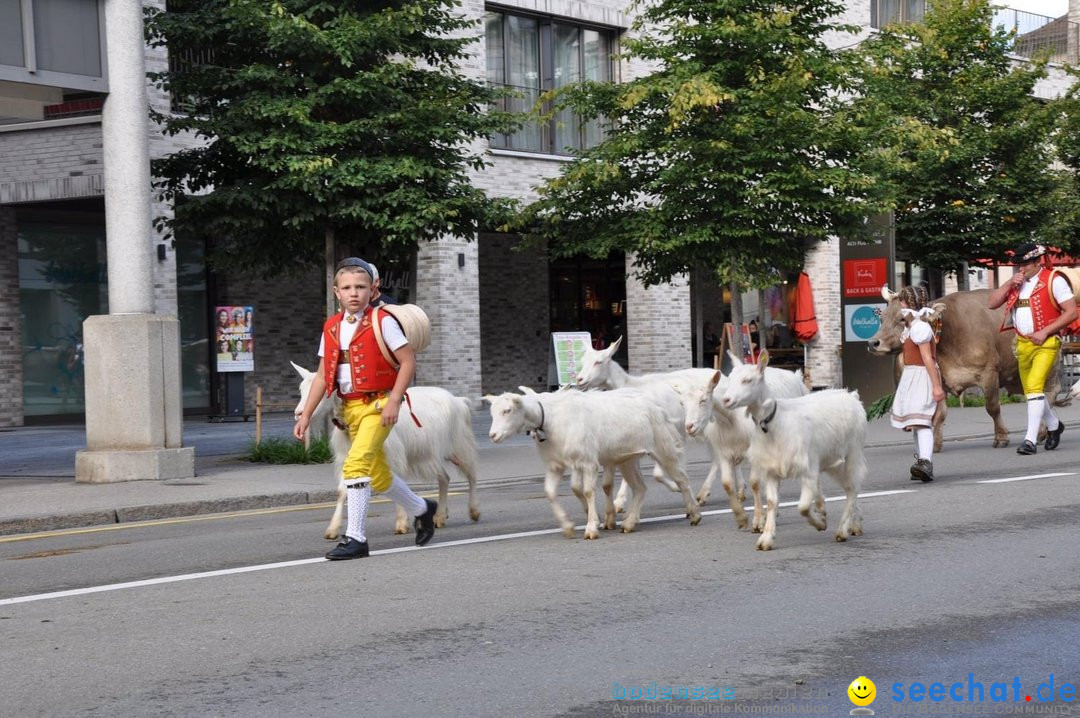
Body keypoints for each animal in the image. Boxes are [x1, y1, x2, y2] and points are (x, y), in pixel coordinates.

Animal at [295, 364, 481, 537]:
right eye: (301, 389)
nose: (299, 413)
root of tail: (459, 400)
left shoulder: (394, 456)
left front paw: (401, 524)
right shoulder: (347, 458)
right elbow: (342, 491)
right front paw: (332, 529)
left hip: (460, 446)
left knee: (471, 475)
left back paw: (473, 511)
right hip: (431, 454)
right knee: (445, 478)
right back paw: (440, 516)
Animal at [488, 386, 704, 537]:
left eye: (507, 410)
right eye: (493, 412)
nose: (493, 435)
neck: (550, 419)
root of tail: (657, 408)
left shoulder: (588, 462)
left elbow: (588, 491)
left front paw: (592, 527)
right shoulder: (556, 465)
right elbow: (550, 492)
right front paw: (568, 526)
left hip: (663, 448)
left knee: (682, 479)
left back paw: (694, 514)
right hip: (627, 459)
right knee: (640, 487)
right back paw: (629, 524)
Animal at [721, 351, 864, 548]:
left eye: (748, 380)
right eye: (730, 378)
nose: (726, 400)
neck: (776, 421)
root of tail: (851, 396)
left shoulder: (806, 466)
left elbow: (802, 507)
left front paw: (819, 524)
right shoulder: (772, 468)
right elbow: (772, 502)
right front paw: (766, 538)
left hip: (853, 454)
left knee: (852, 488)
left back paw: (844, 529)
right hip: (831, 460)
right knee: (848, 486)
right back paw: (842, 519)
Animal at [864, 285, 1058, 449]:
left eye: (902, 319)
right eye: (882, 317)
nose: (873, 343)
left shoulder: (989, 372)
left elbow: (992, 407)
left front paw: (1001, 437)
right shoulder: (940, 379)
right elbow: (940, 413)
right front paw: (935, 443)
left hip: (1048, 364)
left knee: (1049, 393)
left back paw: (1042, 431)